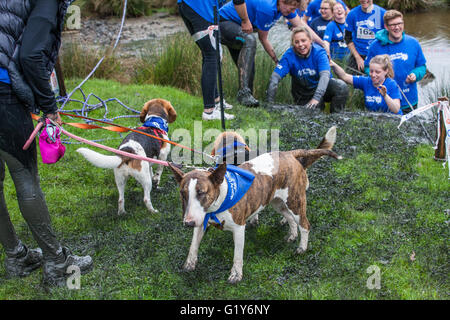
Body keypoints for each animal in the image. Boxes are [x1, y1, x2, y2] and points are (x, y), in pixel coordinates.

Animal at [170, 126, 342, 284]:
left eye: (201, 192)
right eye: (183, 193)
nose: (188, 223)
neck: (220, 200)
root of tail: (290, 154)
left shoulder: (239, 227)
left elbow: (237, 255)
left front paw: (236, 275)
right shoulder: (201, 221)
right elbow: (193, 245)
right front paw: (189, 265)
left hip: (295, 201)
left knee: (305, 225)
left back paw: (302, 248)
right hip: (277, 202)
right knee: (289, 217)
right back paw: (292, 235)